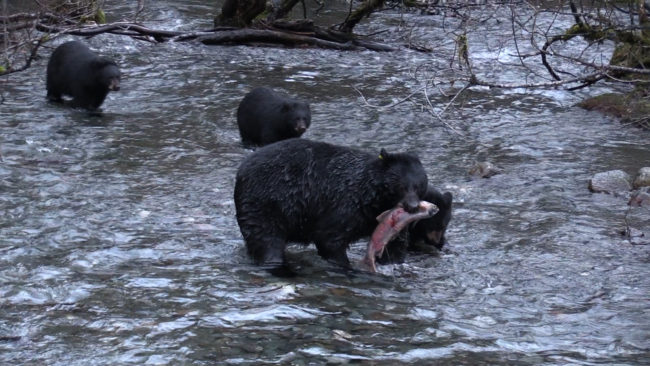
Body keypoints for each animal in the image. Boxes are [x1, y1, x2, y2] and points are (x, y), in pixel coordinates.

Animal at [234, 137, 430, 274]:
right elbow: (330, 237)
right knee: (267, 240)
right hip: (266, 204)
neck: (372, 198)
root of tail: (241, 170)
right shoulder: (346, 203)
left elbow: (395, 243)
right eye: (401, 186)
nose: (412, 206)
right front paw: (346, 266)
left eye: (419, 186)